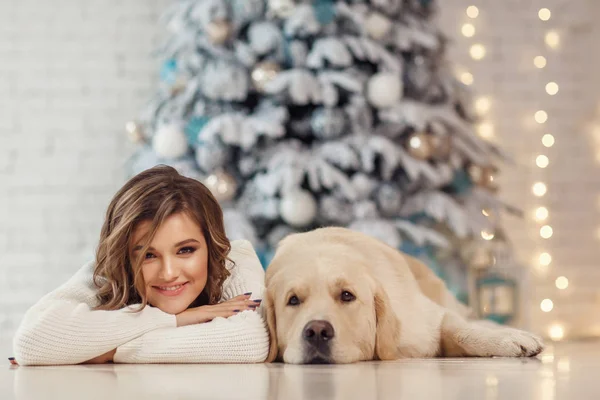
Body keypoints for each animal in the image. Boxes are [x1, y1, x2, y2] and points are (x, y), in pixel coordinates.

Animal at [262, 227, 544, 364]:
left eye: (347, 295)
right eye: (293, 300)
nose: (317, 331)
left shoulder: (428, 318)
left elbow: (461, 330)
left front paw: (506, 338)